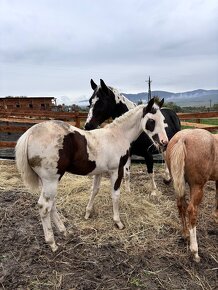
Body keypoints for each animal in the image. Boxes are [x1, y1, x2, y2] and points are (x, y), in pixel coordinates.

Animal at [15, 98, 169, 251]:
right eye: (151, 120)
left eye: (163, 119)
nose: (164, 143)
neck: (118, 135)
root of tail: (30, 133)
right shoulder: (116, 171)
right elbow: (115, 195)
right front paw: (118, 222)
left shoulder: (98, 172)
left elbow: (94, 190)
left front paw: (87, 213)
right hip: (51, 180)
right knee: (44, 206)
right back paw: (52, 243)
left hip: (46, 181)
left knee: (51, 205)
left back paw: (64, 231)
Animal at [166, 129, 217, 262]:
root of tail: (182, 138)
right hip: (197, 187)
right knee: (192, 210)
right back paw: (195, 251)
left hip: (179, 183)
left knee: (181, 205)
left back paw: (185, 234)